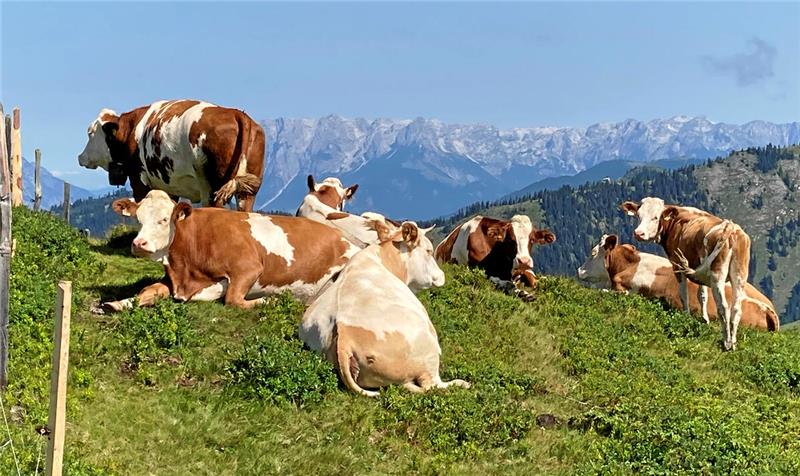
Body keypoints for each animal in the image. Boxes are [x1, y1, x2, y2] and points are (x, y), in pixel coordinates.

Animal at [78, 99, 265, 212]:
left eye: (90, 133)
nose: (80, 156)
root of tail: (238, 114)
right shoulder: (168, 184)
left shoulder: (138, 178)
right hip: (248, 190)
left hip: (214, 187)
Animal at [102, 190, 359, 311]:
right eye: (138, 219)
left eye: (164, 220)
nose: (139, 244)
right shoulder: (173, 280)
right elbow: (148, 290)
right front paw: (117, 303)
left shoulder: (248, 268)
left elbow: (232, 299)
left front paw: (267, 301)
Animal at [300, 220, 469, 397]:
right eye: (429, 251)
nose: (442, 275)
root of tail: (344, 336)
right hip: (428, 351)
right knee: (431, 384)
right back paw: (461, 383)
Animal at [621, 197, 752, 350]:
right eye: (638, 215)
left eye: (655, 217)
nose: (638, 233)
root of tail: (732, 228)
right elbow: (702, 295)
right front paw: (705, 319)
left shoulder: (677, 264)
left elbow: (683, 294)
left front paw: (686, 316)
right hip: (740, 275)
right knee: (736, 309)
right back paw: (734, 343)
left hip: (717, 274)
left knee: (724, 307)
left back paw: (727, 343)